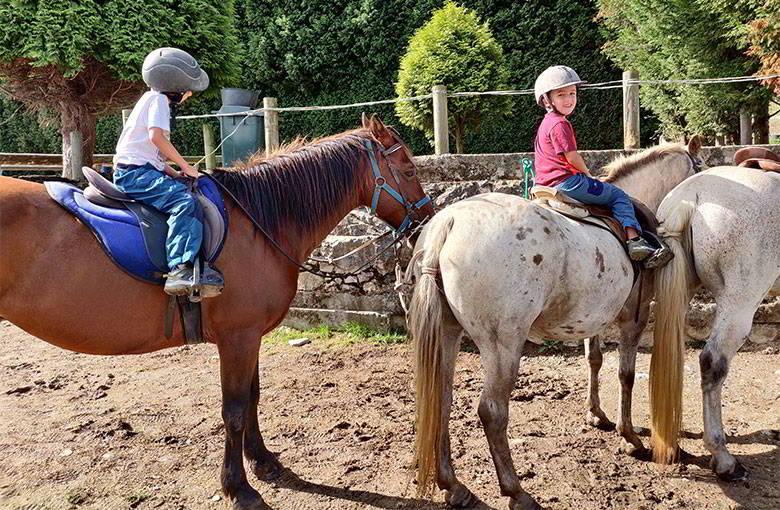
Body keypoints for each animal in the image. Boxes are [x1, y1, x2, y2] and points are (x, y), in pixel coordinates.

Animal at [0, 115, 434, 510]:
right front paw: (238, 487)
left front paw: (264, 462)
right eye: (410, 170)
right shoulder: (237, 337)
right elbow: (235, 409)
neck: (258, 222)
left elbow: (253, 397)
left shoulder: (251, 335)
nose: (425, 221)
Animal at [407, 139, 702, 509]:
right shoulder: (633, 318)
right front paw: (629, 436)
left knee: (441, 400)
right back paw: (516, 491)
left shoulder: (592, 318)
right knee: (492, 411)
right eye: (700, 166)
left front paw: (596, 414)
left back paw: (453, 485)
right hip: (503, 344)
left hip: (447, 334)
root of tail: (450, 222)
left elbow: (594, 360)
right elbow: (626, 375)